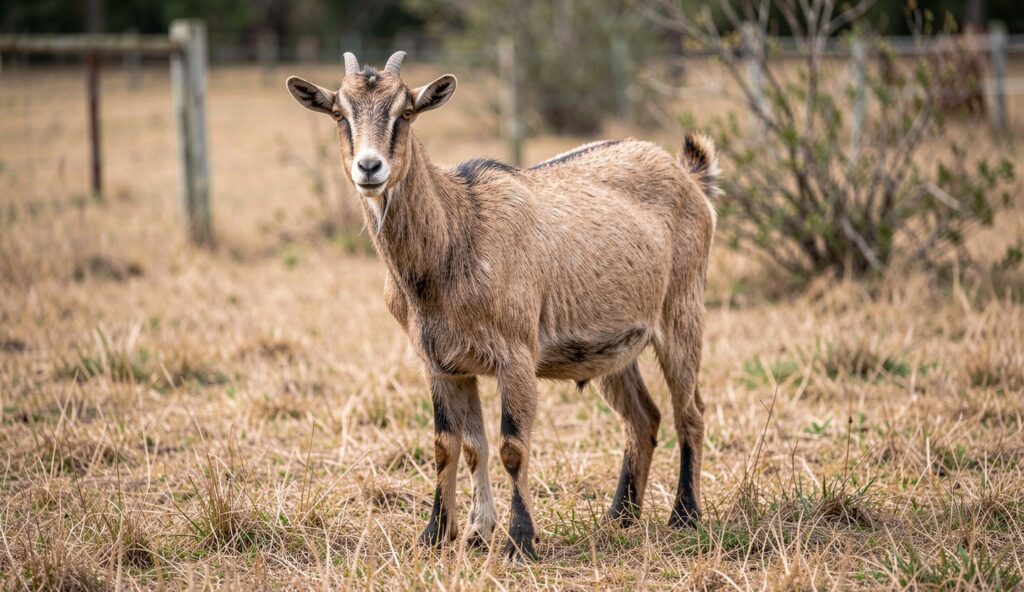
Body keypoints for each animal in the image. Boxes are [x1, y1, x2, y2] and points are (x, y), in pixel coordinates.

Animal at [286, 51, 719, 561]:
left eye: (406, 112)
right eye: (339, 113)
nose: (369, 167)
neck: (456, 235)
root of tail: (690, 177)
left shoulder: (515, 355)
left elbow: (513, 445)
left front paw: (520, 539)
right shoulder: (443, 362)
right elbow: (455, 445)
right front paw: (451, 533)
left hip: (682, 310)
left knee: (690, 411)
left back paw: (685, 515)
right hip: (612, 344)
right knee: (643, 416)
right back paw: (620, 516)